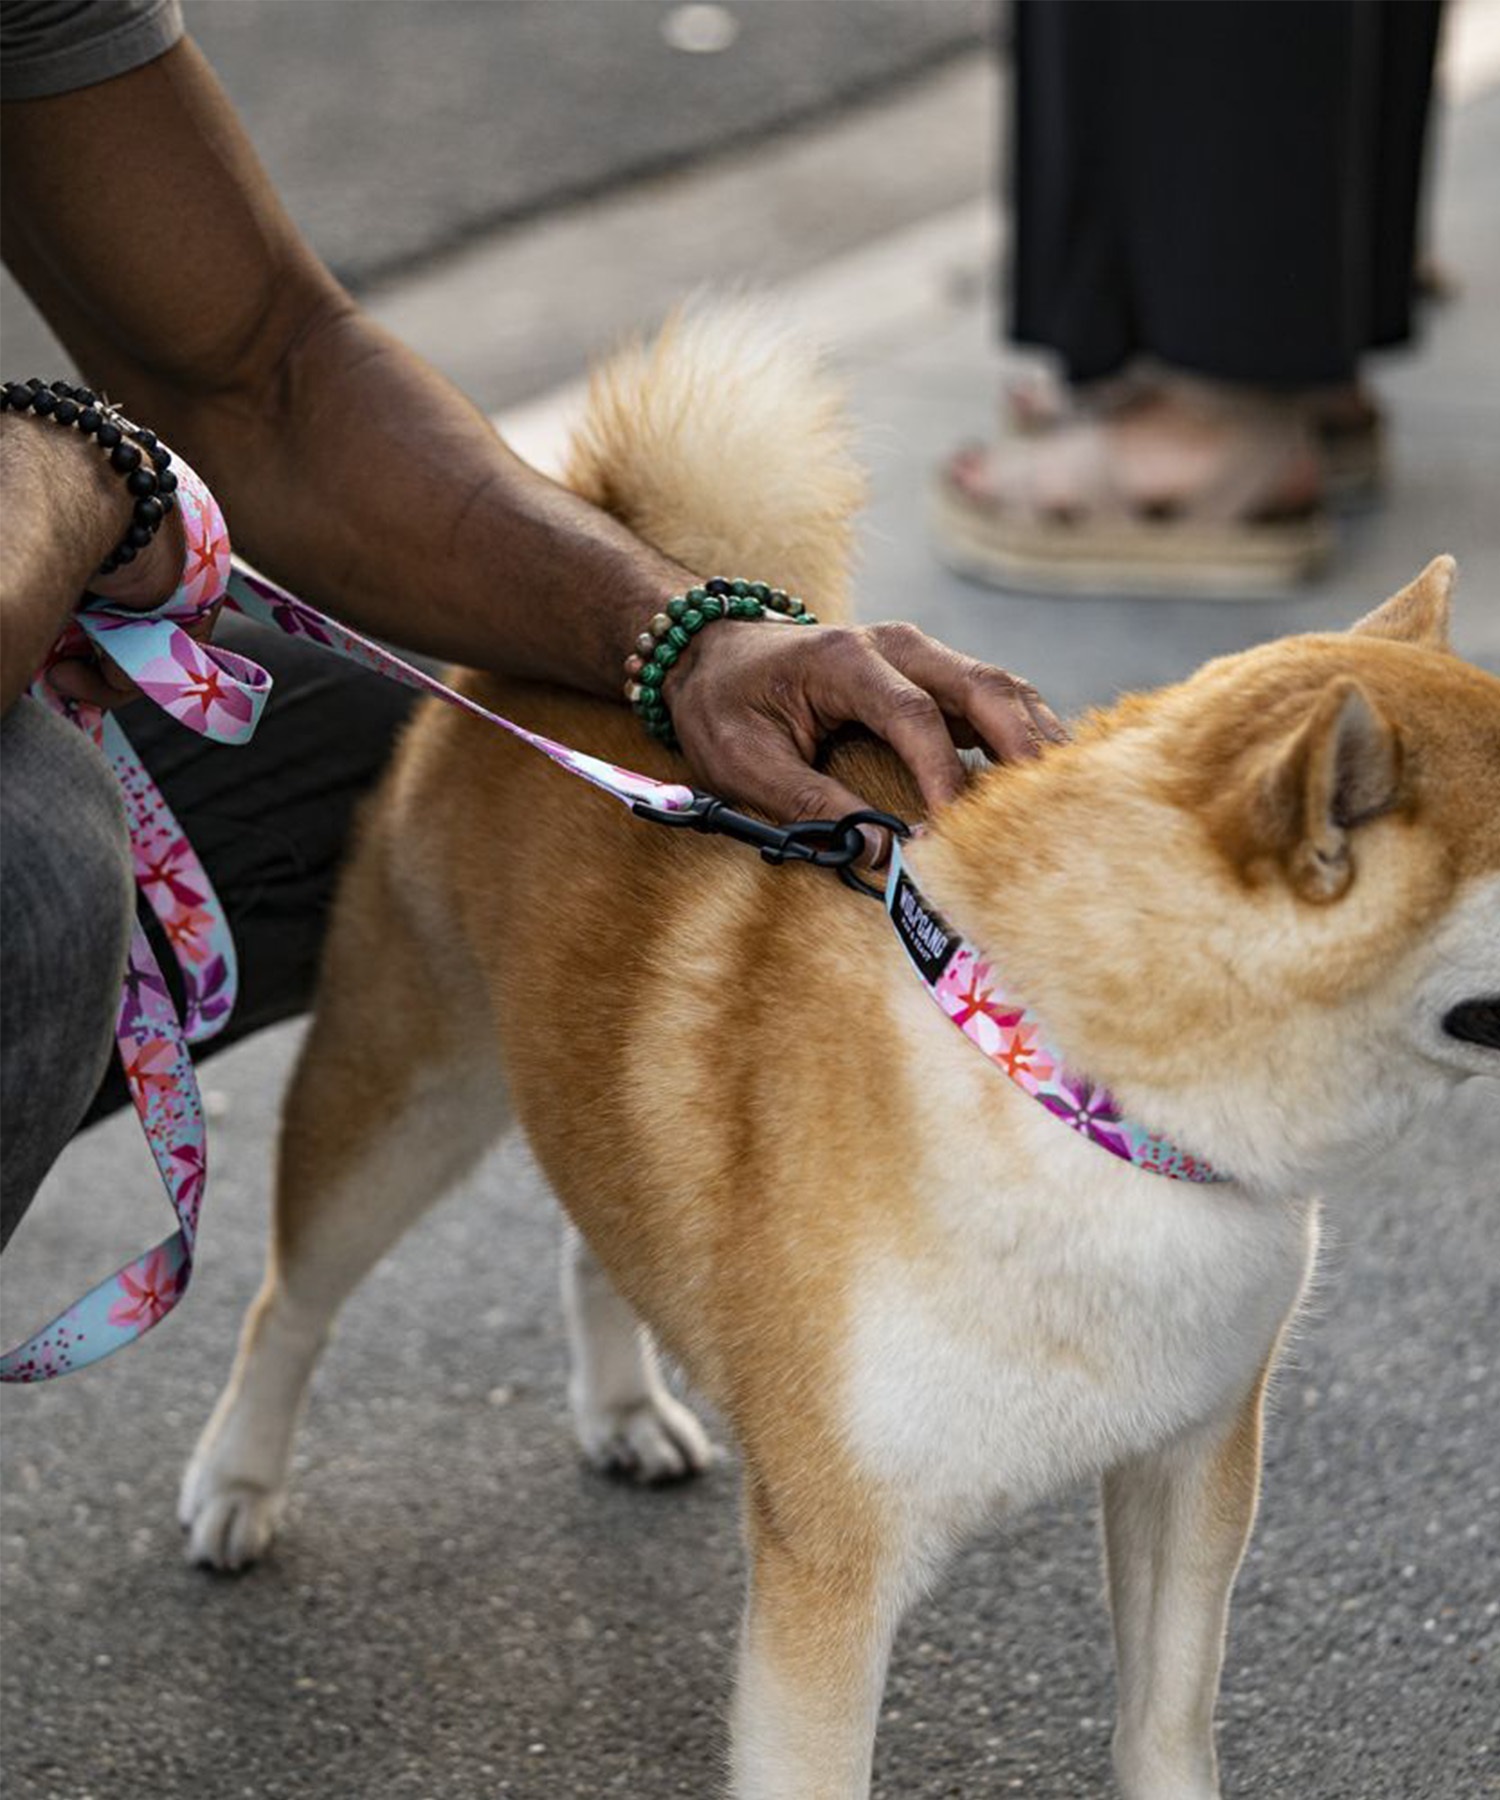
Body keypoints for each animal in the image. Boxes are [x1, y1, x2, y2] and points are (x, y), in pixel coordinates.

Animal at [178, 313, 1498, 1800]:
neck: (1067, 1098)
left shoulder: (1190, 1465)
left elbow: (1168, 1731)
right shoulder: (834, 1569)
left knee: (597, 1230)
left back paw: (623, 1406)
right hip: (406, 1091)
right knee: (289, 1298)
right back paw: (237, 1483)